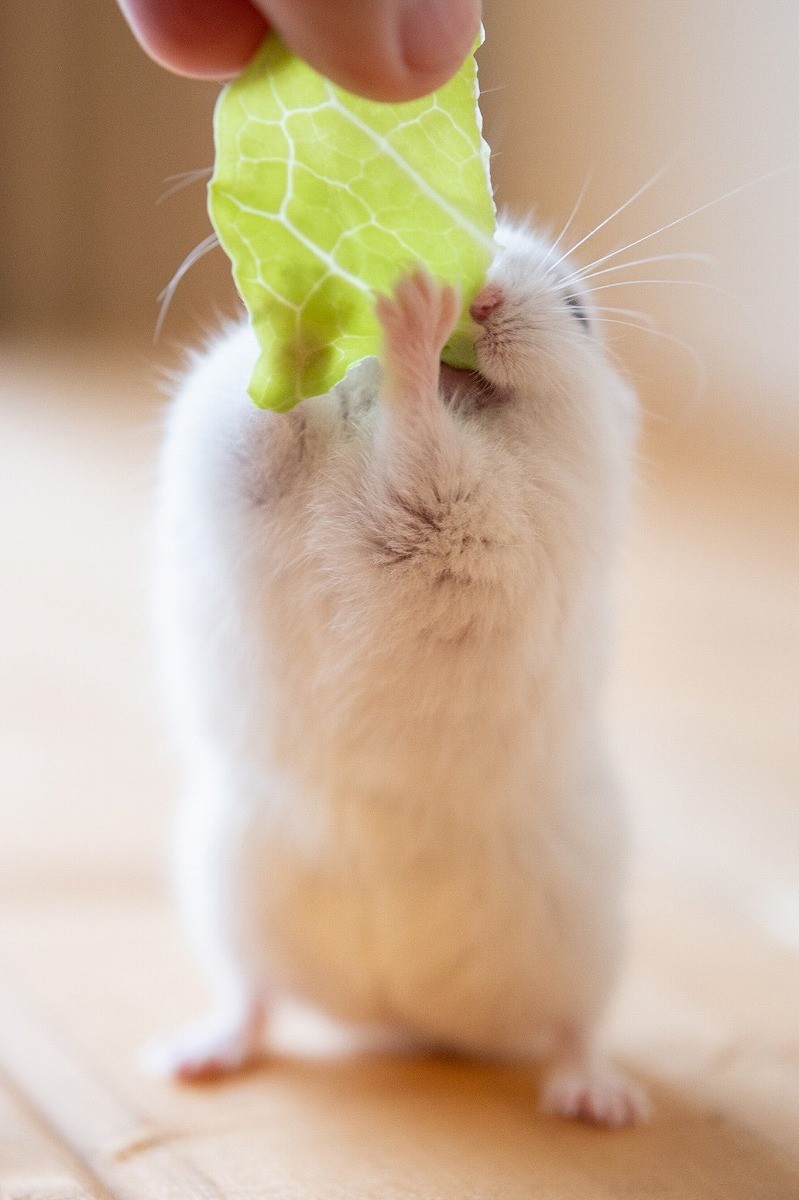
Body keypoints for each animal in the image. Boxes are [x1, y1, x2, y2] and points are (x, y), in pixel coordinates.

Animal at [146, 220, 647, 1128]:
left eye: (577, 311)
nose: (475, 296)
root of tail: (408, 1020)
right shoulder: (243, 457)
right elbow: (263, 415)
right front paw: (300, 300)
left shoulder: (468, 516)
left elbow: (422, 443)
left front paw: (412, 316)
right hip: (229, 889)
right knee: (252, 997)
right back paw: (188, 1058)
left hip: (589, 938)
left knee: (576, 1028)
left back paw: (598, 1101)